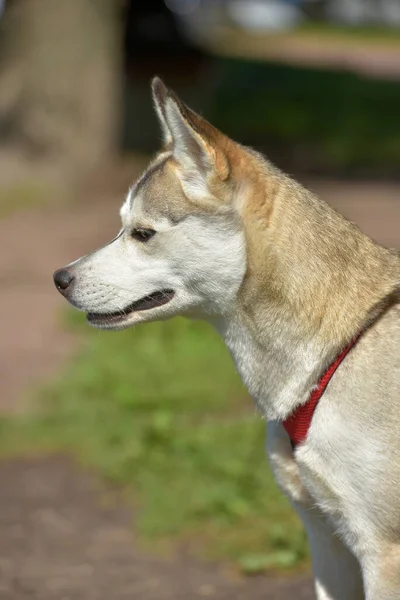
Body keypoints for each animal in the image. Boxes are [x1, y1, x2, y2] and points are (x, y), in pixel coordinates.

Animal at [54, 78, 400, 600]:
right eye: (121, 228)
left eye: (142, 233)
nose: (60, 278)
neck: (339, 350)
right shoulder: (327, 538)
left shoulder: (381, 550)